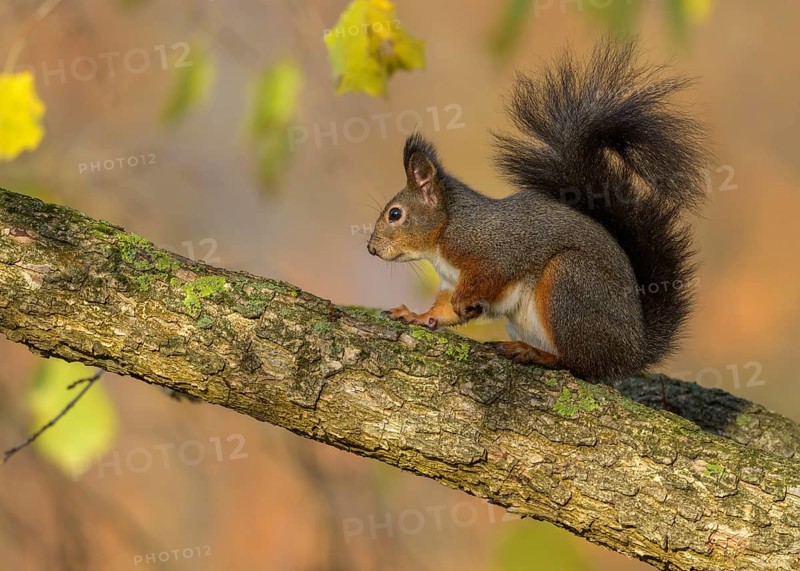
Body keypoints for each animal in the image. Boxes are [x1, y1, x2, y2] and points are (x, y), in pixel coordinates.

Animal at [366, 39, 708, 380]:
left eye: (395, 214)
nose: (371, 249)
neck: (447, 230)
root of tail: (631, 351)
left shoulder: (495, 251)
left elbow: (490, 276)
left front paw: (463, 302)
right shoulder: (450, 282)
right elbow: (443, 310)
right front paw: (416, 315)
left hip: (569, 284)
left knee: (579, 363)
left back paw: (534, 353)